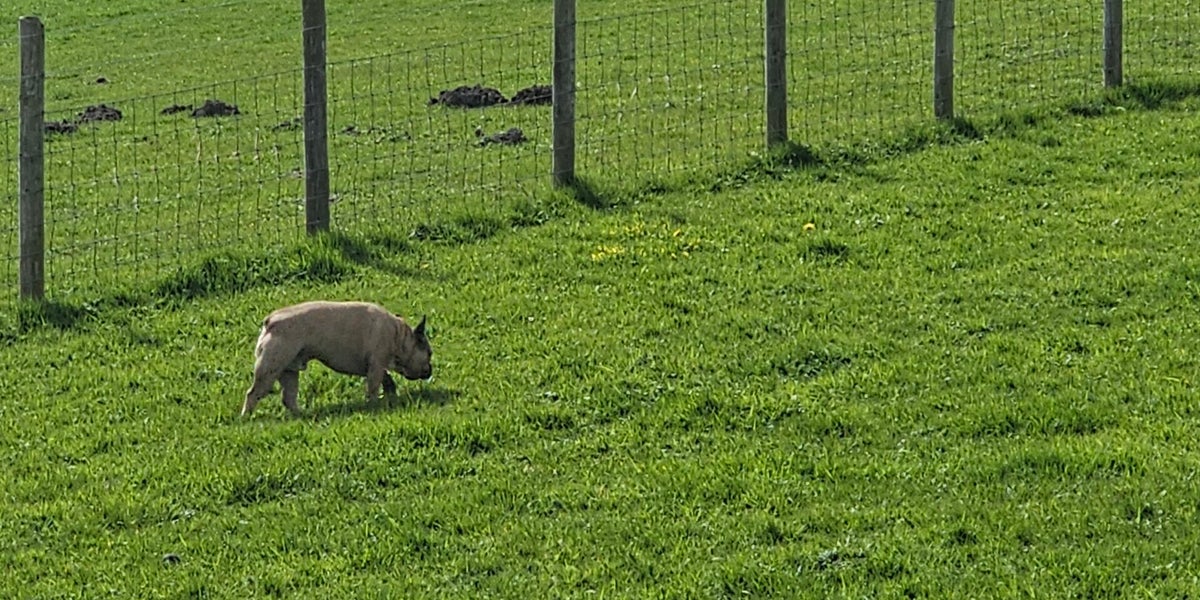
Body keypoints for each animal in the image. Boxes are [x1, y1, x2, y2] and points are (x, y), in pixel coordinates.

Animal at [241, 301, 432, 416]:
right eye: (429, 354)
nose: (431, 370)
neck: (399, 335)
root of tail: (270, 322)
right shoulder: (376, 365)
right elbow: (373, 386)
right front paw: (374, 404)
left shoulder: (376, 366)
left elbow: (386, 377)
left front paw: (390, 392)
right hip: (270, 368)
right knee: (253, 394)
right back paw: (247, 417)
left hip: (289, 370)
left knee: (289, 397)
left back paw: (301, 414)